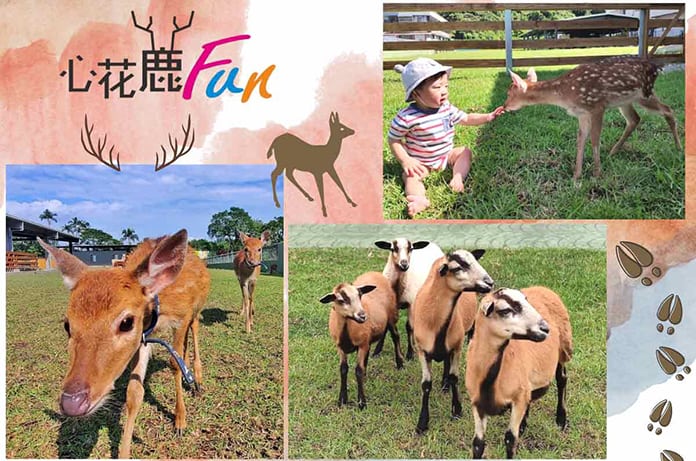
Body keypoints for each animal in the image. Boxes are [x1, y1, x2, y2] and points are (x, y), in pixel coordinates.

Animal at [38, 229, 210, 459]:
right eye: (67, 325)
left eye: (126, 322)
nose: (72, 403)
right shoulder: (144, 335)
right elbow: (134, 392)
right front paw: (124, 453)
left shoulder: (181, 317)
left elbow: (175, 364)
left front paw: (180, 421)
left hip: (198, 308)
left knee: (195, 328)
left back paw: (197, 379)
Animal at [504, 56, 682, 181]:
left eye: (509, 93)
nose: (504, 106)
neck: (564, 93)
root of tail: (657, 67)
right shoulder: (582, 113)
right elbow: (581, 139)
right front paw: (576, 175)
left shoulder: (597, 105)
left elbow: (595, 138)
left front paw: (597, 174)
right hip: (627, 100)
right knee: (635, 119)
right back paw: (613, 151)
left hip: (645, 93)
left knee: (668, 110)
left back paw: (678, 148)